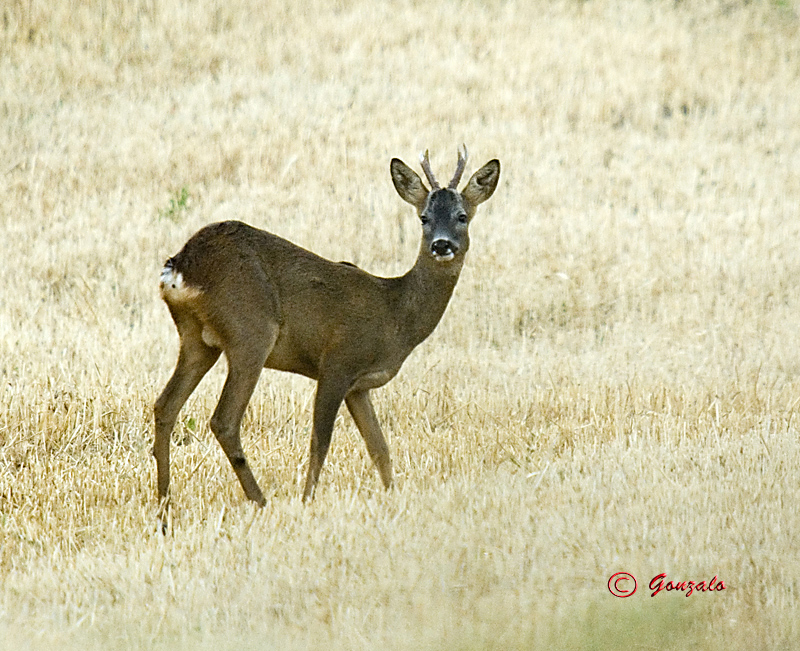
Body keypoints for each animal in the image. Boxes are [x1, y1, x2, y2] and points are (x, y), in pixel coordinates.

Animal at [152, 144, 500, 516]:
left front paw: (394, 497)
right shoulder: (337, 362)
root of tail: (181, 266)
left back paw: (164, 505)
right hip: (251, 330)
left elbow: (380, 448)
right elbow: (321, 441)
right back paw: (260, 500)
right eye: (424, 217)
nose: (441, 245)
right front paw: (307, 500)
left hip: (197, 339)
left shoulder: (359, 387)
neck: (395, 315)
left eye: (462, 216)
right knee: (224, 420)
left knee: (165, 406)